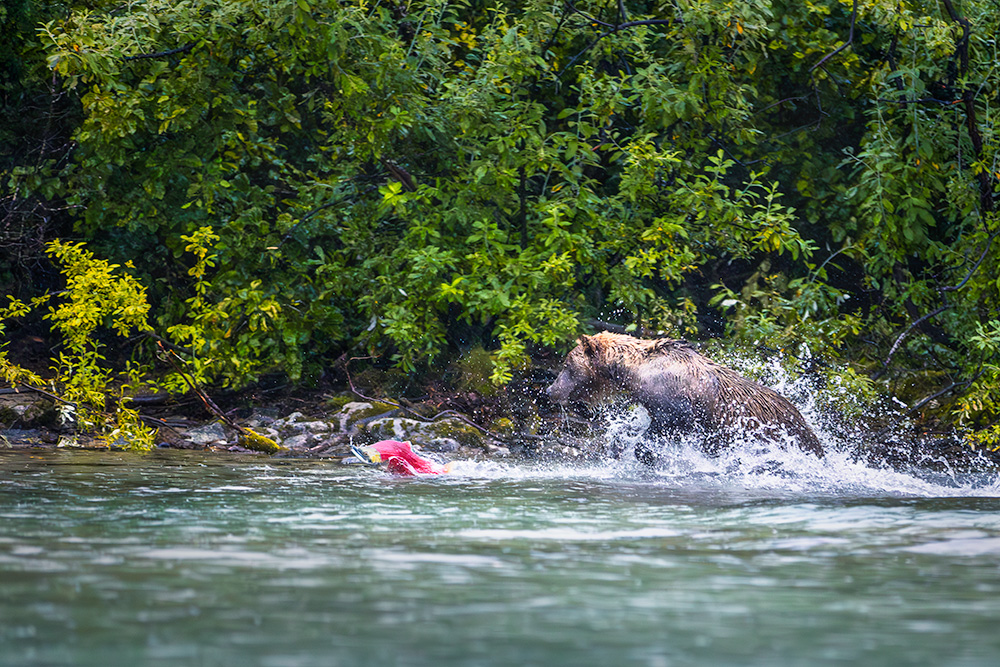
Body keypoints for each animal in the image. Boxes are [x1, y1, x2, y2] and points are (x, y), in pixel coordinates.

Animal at [545, 332, 823, 459]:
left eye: (567, 365)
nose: (550, 390)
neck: (635, 372)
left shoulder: (675, 398)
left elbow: (674, 423)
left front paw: (644, 453)